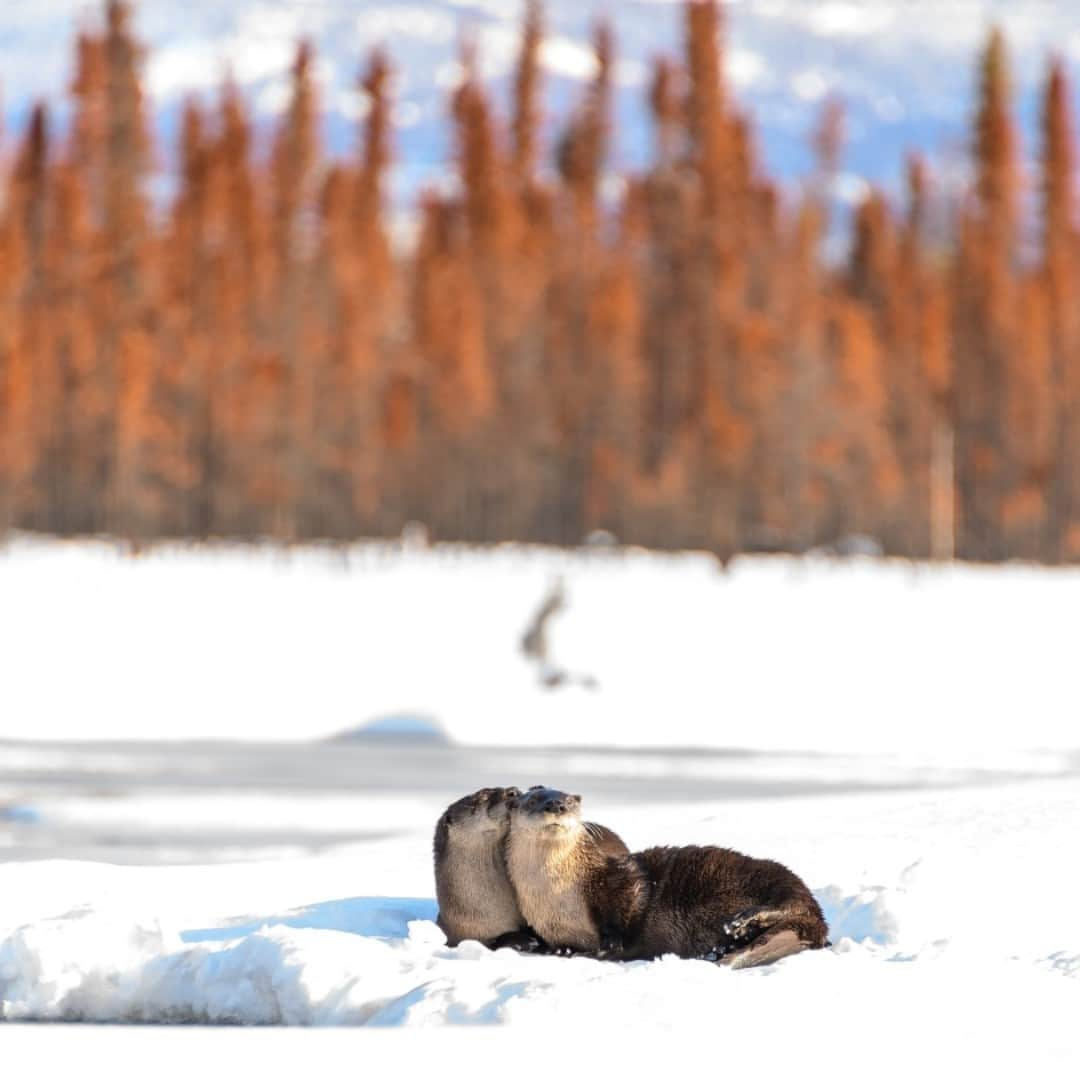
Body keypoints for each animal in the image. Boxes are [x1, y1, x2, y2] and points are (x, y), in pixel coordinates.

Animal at [503, 786, 825, 972]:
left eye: (570, 801)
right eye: (534, 799)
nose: (556, 805)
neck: (556, 895)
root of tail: (818, 922)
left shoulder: (616, 877)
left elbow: (634, 896)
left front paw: (612, 943)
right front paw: (555, 949)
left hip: (777, 879)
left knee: (788, 902)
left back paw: (742, 923)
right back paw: (722, 948)